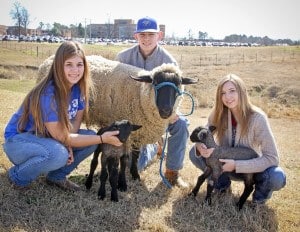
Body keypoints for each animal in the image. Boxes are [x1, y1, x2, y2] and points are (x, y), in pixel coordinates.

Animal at [37, 54, 198, 181]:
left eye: (178, 84)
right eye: (155, 82)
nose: (166, 110)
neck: (139, 94)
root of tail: (49, 59)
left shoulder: (137, 131)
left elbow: (136, 154)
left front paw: (133, 174)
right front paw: (130, 174)